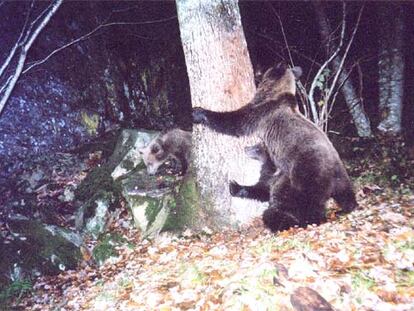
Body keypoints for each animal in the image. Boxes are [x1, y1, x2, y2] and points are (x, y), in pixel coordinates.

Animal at [192, 62, 358, 232]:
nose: (257, 72)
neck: (275, 94)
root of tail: (331, 171)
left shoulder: (261, 113)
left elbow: (235, 122)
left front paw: (199, 113)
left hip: (306, 172)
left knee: (307, 202)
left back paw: (303, 219)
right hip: (340, 173)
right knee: (345, 193)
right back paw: (347, 207)